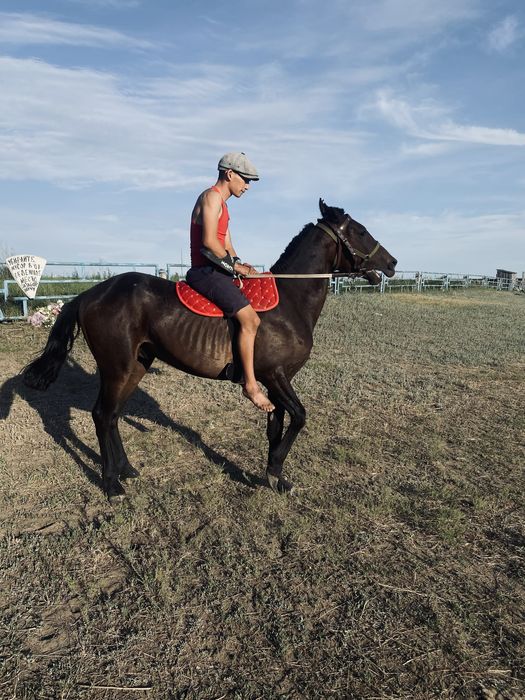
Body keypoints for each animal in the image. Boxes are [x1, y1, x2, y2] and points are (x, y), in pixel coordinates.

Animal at [23, 199, 397, 500]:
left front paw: (274, 476)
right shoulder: (274, 376)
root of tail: (90, 294)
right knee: (102, 415)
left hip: (137, 365)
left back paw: (127, 470)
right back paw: (112, 483)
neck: (289, 303)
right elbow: (299, 417)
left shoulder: (279, 380)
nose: (392, 262)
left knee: (113, 415)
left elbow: (276, 424)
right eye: (361, 231)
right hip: (116, 367)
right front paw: (275, 470)